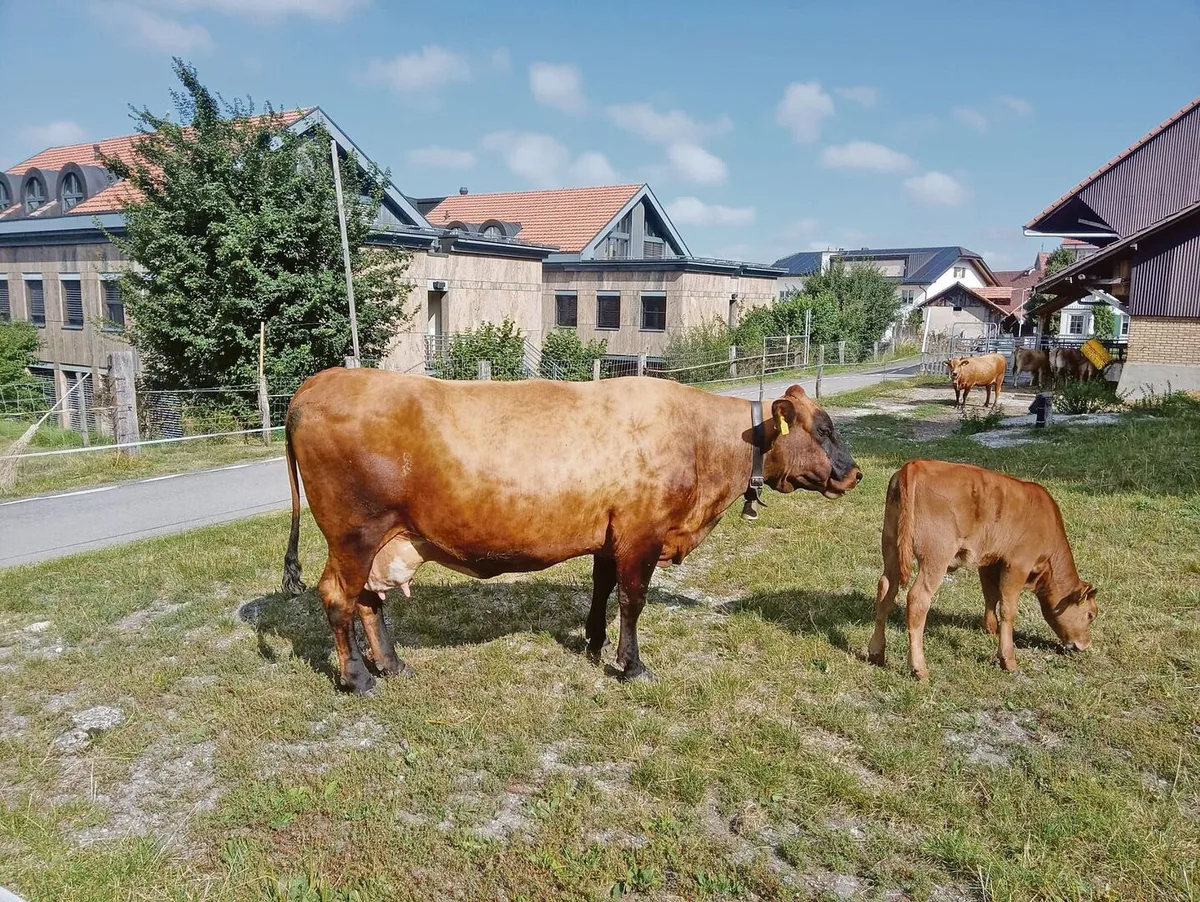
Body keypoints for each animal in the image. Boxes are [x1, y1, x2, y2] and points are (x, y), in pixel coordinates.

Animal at [282, 369, 862, 693]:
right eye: (824, 428)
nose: (854, 472)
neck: (701, 440)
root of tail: (319, 381)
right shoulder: (641, 532)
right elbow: (632, 599)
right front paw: (631, 665)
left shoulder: (611, 535)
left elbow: (602, 589)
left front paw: (593, 642)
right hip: (353, 532)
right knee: (338, 596)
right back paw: (357, 678)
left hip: (380, 538)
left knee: (368, 600)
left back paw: (393, 665)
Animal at [868, 460, 1098, 679]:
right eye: (1090, 615)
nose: (1085, 645)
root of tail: (916, 465)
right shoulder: (1018, 564)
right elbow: (1008, 609)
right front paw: (1008, 660)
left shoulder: (990, 561)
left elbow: (991, 594)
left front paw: (990, 628)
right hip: (936, 556)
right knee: (917, 599)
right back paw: (919, 669)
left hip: (891, 546)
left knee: (885, 590)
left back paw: (876, 653)